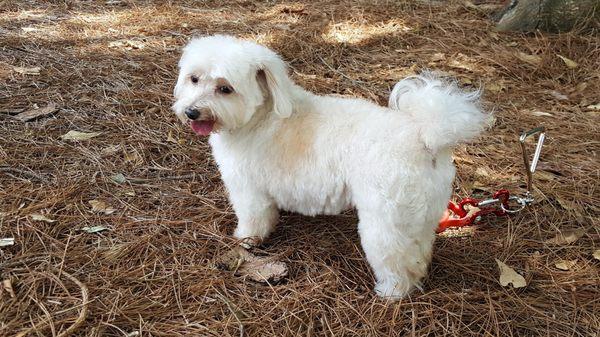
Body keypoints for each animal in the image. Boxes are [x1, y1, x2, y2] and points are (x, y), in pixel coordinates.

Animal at [171, 33, 490, 296]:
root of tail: (425, 136)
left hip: (385, 225)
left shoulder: (249, 190)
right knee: (419, 252)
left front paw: (245, 240)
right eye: (194, 79)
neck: (260, 116)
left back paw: (391, 292)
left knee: (397, 265)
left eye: (225, 89)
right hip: (420, 217)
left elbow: (254, 221)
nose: (192, 112)